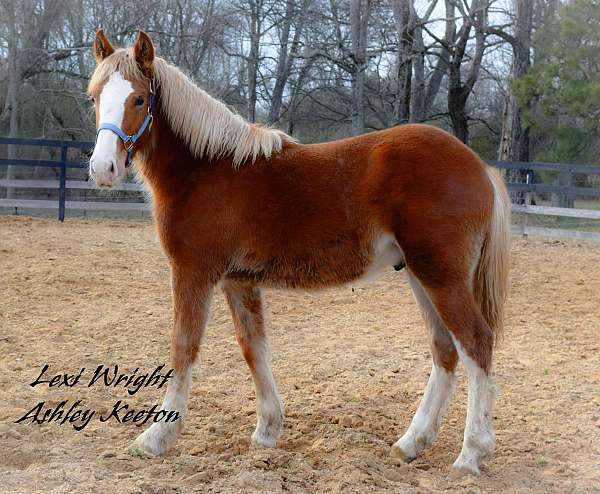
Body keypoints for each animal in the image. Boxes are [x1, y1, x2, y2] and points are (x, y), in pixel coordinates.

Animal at [89, 29, 510, 474]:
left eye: (138, 99)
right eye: (95, 96)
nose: (103, 169)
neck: (204, 170)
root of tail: (480, 166)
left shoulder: (192, 272)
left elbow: (183, 347)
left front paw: (156, 437)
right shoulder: (238, 282)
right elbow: (253, 348)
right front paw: (267, 430)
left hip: (441, 275)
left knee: (475, 342)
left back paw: (470, 454)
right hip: (419, 274)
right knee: (445, 350)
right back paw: (412, 442)